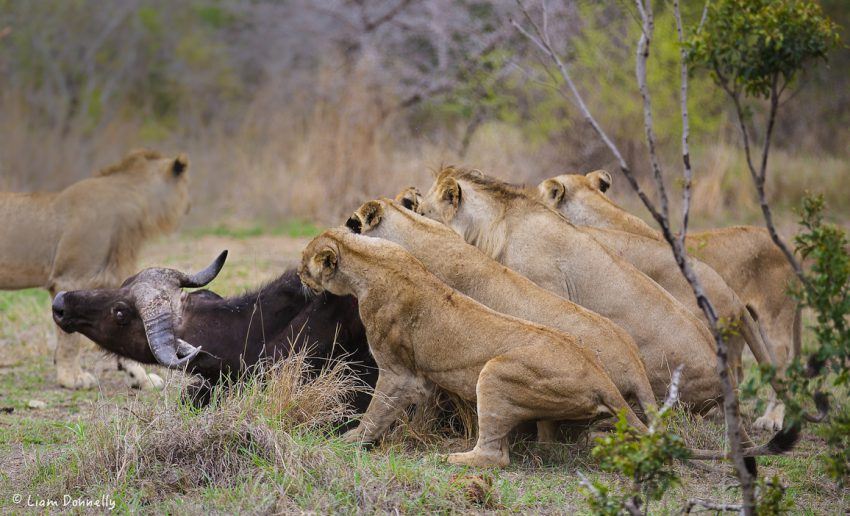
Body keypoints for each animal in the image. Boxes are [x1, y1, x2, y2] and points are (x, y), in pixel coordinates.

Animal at [298, 228, 644, 466]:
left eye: (303, 262)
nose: (300, 276)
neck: (369, 259)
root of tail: (599, 376)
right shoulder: (422, 379)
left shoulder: (399, 373)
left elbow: (376, 410)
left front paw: (351, 439)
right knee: (542, 442)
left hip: (495, 373)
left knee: (493, 456)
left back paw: (444, 458)